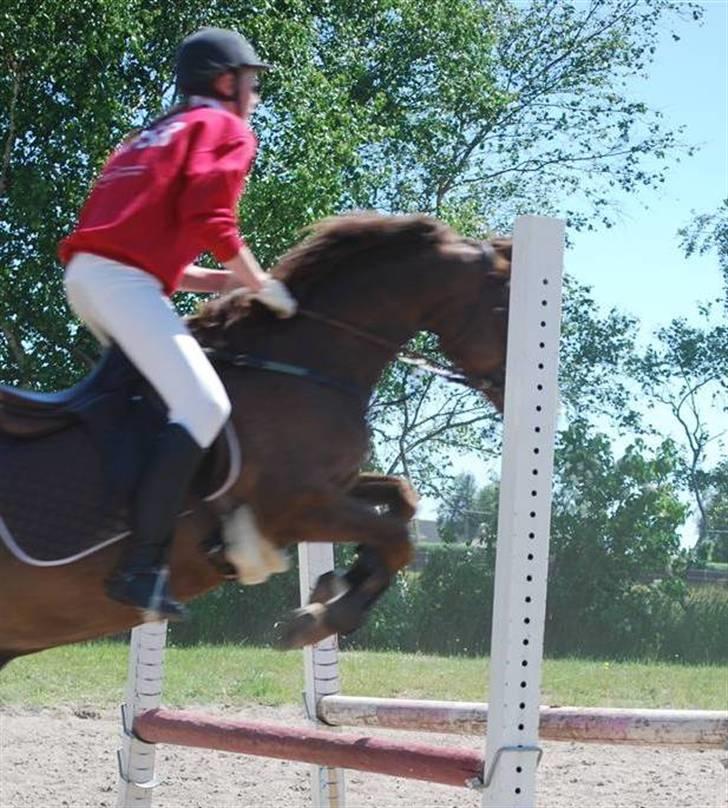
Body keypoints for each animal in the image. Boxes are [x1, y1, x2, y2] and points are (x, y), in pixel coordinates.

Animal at [0, 210, 512, 668]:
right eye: (508, 307)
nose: (514, 394)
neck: (301, 365)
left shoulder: (333, 487)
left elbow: (401, 498)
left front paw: (339, 581)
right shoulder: (295, 507)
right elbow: (397, 536)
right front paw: (317, 619)